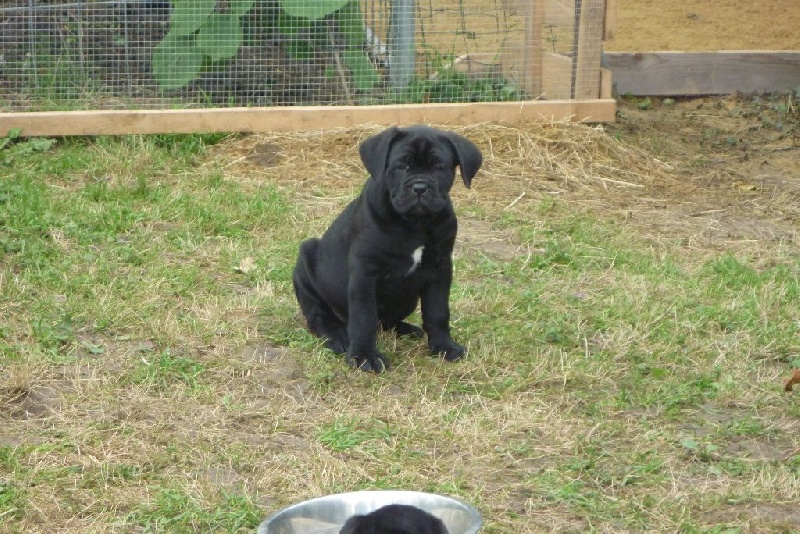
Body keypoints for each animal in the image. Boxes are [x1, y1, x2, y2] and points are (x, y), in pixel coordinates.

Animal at [294, 127, 482, 374]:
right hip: (306, 260)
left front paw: (444, 346)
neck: (415, 223)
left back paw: (407, 329)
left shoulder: (440, 268)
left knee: (386, 321)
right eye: (401, 166)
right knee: (320, 315)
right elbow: (364, 318)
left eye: (439, 166)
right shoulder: (365, 273)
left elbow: (438, 311)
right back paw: (338, 337)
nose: (419, 187)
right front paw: (364, 357)